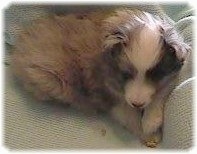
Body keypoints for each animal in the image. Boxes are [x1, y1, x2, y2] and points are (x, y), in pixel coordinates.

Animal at [10, 8, 191, 148]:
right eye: (125, 74)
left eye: (156, 75)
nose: (137, 104)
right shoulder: (109, 95)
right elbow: (129, 117)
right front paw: (147, 135)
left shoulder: (169, 78)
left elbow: (160, 94)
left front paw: (150, 122)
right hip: (50, 81)